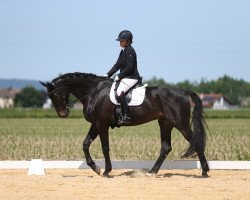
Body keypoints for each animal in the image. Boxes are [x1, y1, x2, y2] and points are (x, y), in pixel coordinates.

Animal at [40, 72, 209, 177]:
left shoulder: (102, 124)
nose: (62, 114)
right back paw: (151, 172)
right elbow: (85, 144)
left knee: (196, 142)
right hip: (165, 123)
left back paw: (205, 172)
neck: (94, 92)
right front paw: (95, 168)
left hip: (180, 124)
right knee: (166, 147)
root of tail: (183, 92)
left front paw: (106, 171)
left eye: (54, 95)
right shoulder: (95, 124)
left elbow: (105, 147)